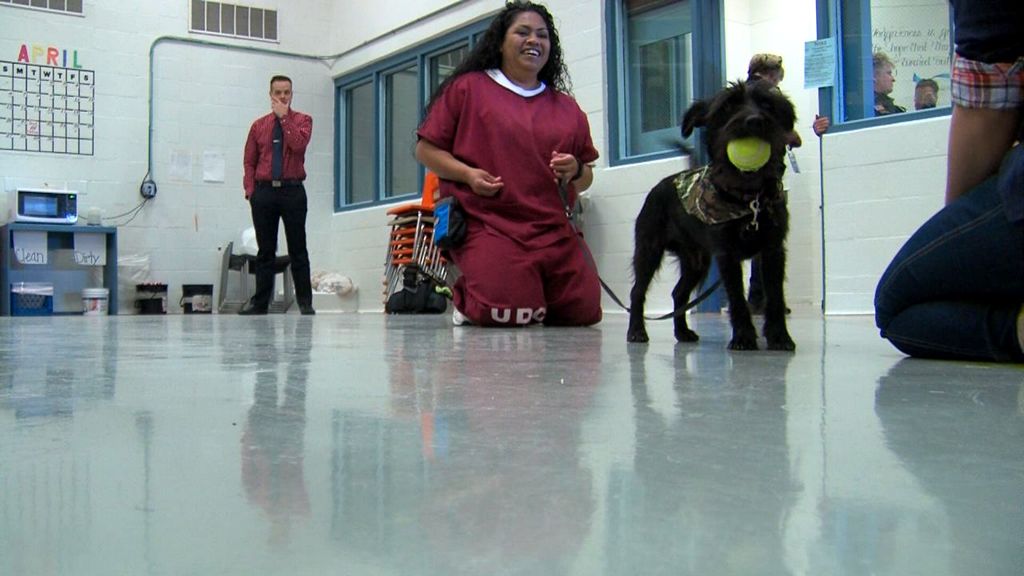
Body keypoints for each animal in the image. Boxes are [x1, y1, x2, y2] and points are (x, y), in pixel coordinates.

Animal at [622, 80, 798, 350]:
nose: (755, 121)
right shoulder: (727, 255)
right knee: (637, 291)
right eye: (727, 107)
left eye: (767, 105)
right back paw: (636, 331)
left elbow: (776, 295)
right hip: (648, 250)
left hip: (696, 261)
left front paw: (779, 336)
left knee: (678, 293)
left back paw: (682, 332)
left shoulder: (773, 251)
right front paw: (744, 337)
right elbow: (736, 297)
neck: (748, 198)